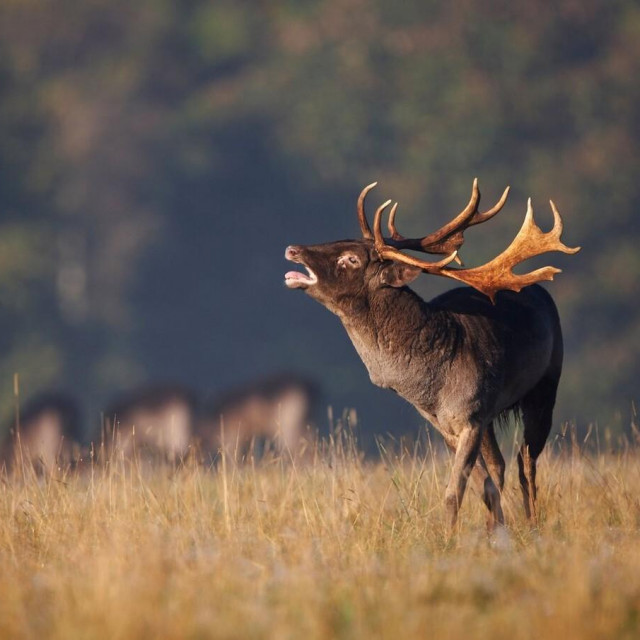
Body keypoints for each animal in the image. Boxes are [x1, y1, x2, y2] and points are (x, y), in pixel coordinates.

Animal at [284, 180, 580, 528]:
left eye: (351, 258)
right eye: (340, 238)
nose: (293, 249)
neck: (430, 386)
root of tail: (538, 288)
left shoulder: (470, 416)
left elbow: (454, 492)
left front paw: (449, 536)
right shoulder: (447, 423)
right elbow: (482, 484)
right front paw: (492, 531)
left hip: (546, 385)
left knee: (526, 461)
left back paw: (532, 524)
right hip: (492, 414)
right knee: (501, 465)